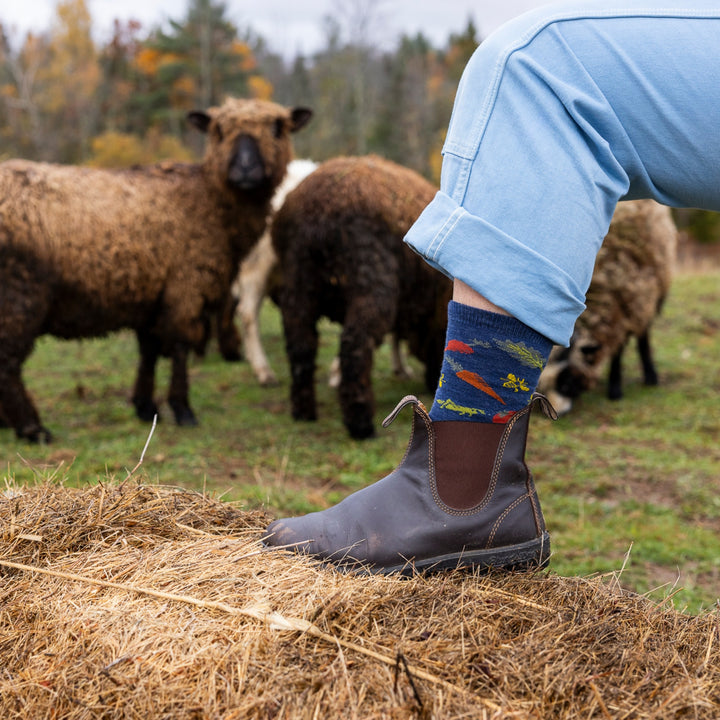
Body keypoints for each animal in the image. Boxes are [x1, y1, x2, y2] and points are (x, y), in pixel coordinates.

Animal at [0, 97, 312, 442]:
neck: (209, 197)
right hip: (19, 293)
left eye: (277, 127)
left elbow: (148, 352)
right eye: (219, 129)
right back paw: (32, 428)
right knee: (7, 360)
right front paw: (183, 409)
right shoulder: (186, 285)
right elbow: (179, 348)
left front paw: (145, 406)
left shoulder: (150, 294)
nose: (245, 170)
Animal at [271, 154, 452, 439]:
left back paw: (303, 412)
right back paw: (360, 423)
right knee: (354, 345)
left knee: (300, 344)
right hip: (371, 282)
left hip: (298, 282)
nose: (431, 383)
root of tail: (317, 213)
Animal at [536, 199, 677, 415]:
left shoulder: (628, 303)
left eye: (566, 382)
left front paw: (616, 389)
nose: (553, 414)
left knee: (643, 334)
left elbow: (622, 348)